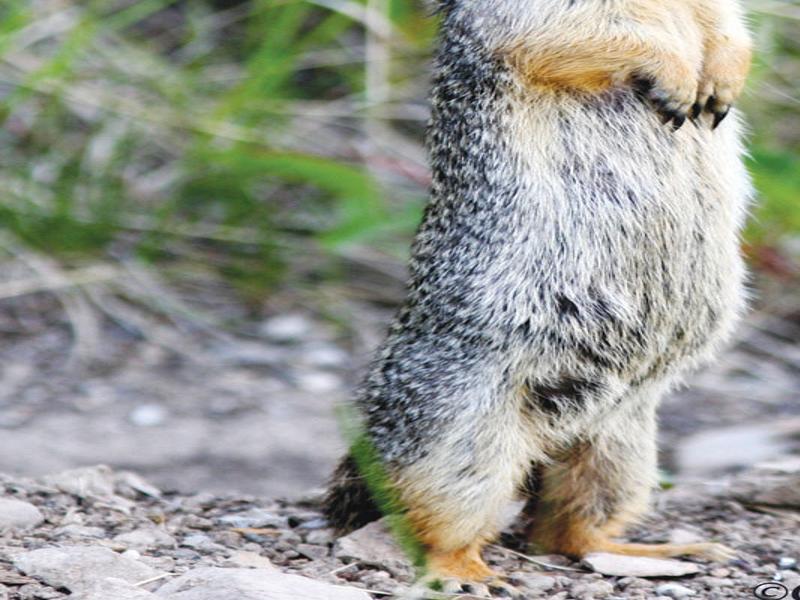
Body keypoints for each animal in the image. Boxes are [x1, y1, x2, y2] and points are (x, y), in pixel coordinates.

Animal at [324, 0, 753, 595]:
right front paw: (675, 77)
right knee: (432, 512)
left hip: (622, 442)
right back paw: (463, 571)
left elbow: (727, 25)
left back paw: (662, 547)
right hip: (462, 425)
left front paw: (724, 77)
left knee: (564, 530)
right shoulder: (530, 12)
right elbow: (563, 30)